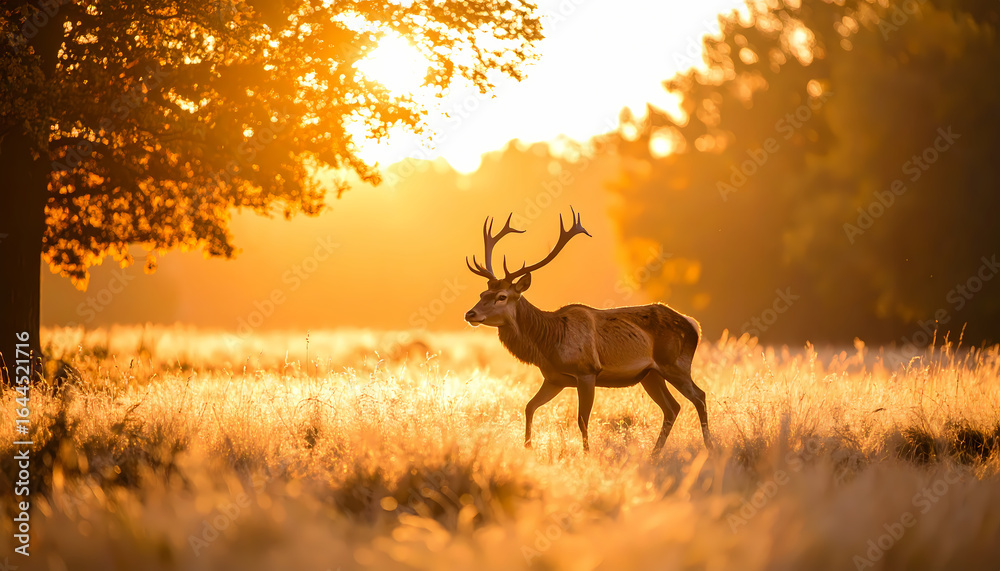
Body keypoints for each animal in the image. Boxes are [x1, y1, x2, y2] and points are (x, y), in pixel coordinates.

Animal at [463, 208, 713, 453]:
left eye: (502, 296)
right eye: (482, 294)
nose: (470, 314)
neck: (548, 344)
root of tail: (693, 324)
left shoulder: (587, 371)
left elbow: (582, 419)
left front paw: (587, 454)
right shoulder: (554, 379)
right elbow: (529, 406)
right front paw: (528, 447)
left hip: (675, 364)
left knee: (699, 396)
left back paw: (710, 447)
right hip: (650, 374)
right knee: (672, 407)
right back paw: (654, 454)